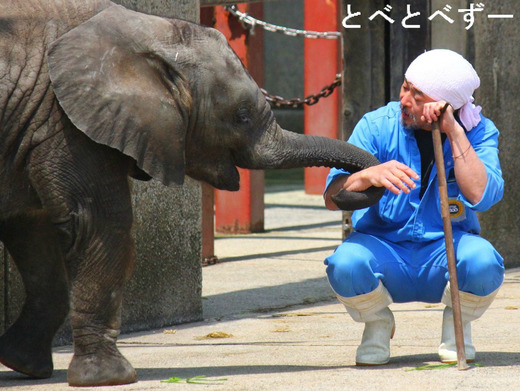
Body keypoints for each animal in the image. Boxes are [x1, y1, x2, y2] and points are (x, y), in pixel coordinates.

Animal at [0, 0, 386, 388]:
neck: (141, 31)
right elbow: (99, 224)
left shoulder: (40, 126)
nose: (355, 186)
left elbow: (33, 230)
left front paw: (24, 365)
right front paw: (110, 377)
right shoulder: (65, 123)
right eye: (241, 116)